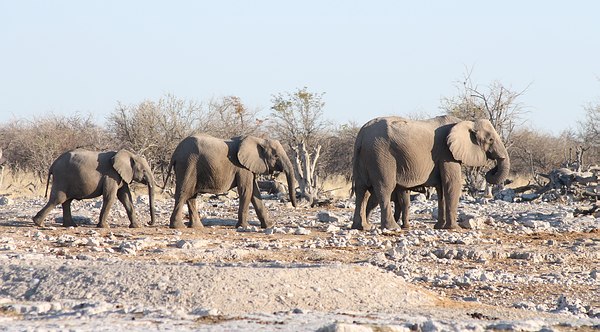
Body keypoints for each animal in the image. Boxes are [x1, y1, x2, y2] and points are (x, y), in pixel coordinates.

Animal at [165, 134, 296, 230]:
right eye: (276, 156)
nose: (294, 205)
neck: (259, 140)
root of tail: (175, 153)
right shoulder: (242, 167)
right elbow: (246, 191)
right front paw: (244, 227)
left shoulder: (249, 167)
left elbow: (255, 193)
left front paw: (269, 226)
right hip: (188, 165)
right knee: (184, 193)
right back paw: (178, 227)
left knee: (191, 195)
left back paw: (197, 227)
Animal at [352, 115, 510, 230]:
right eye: (490, 139)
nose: (491, 170)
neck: (466, 122)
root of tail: (361, 135)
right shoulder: (447, 153)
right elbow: (452, 184)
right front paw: (455, 228)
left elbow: (441, 189)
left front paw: (440, 227)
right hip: (380, 155)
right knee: (384, 188)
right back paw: (392, 228)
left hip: (365, 156)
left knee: (361, 190)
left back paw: (362, 227)